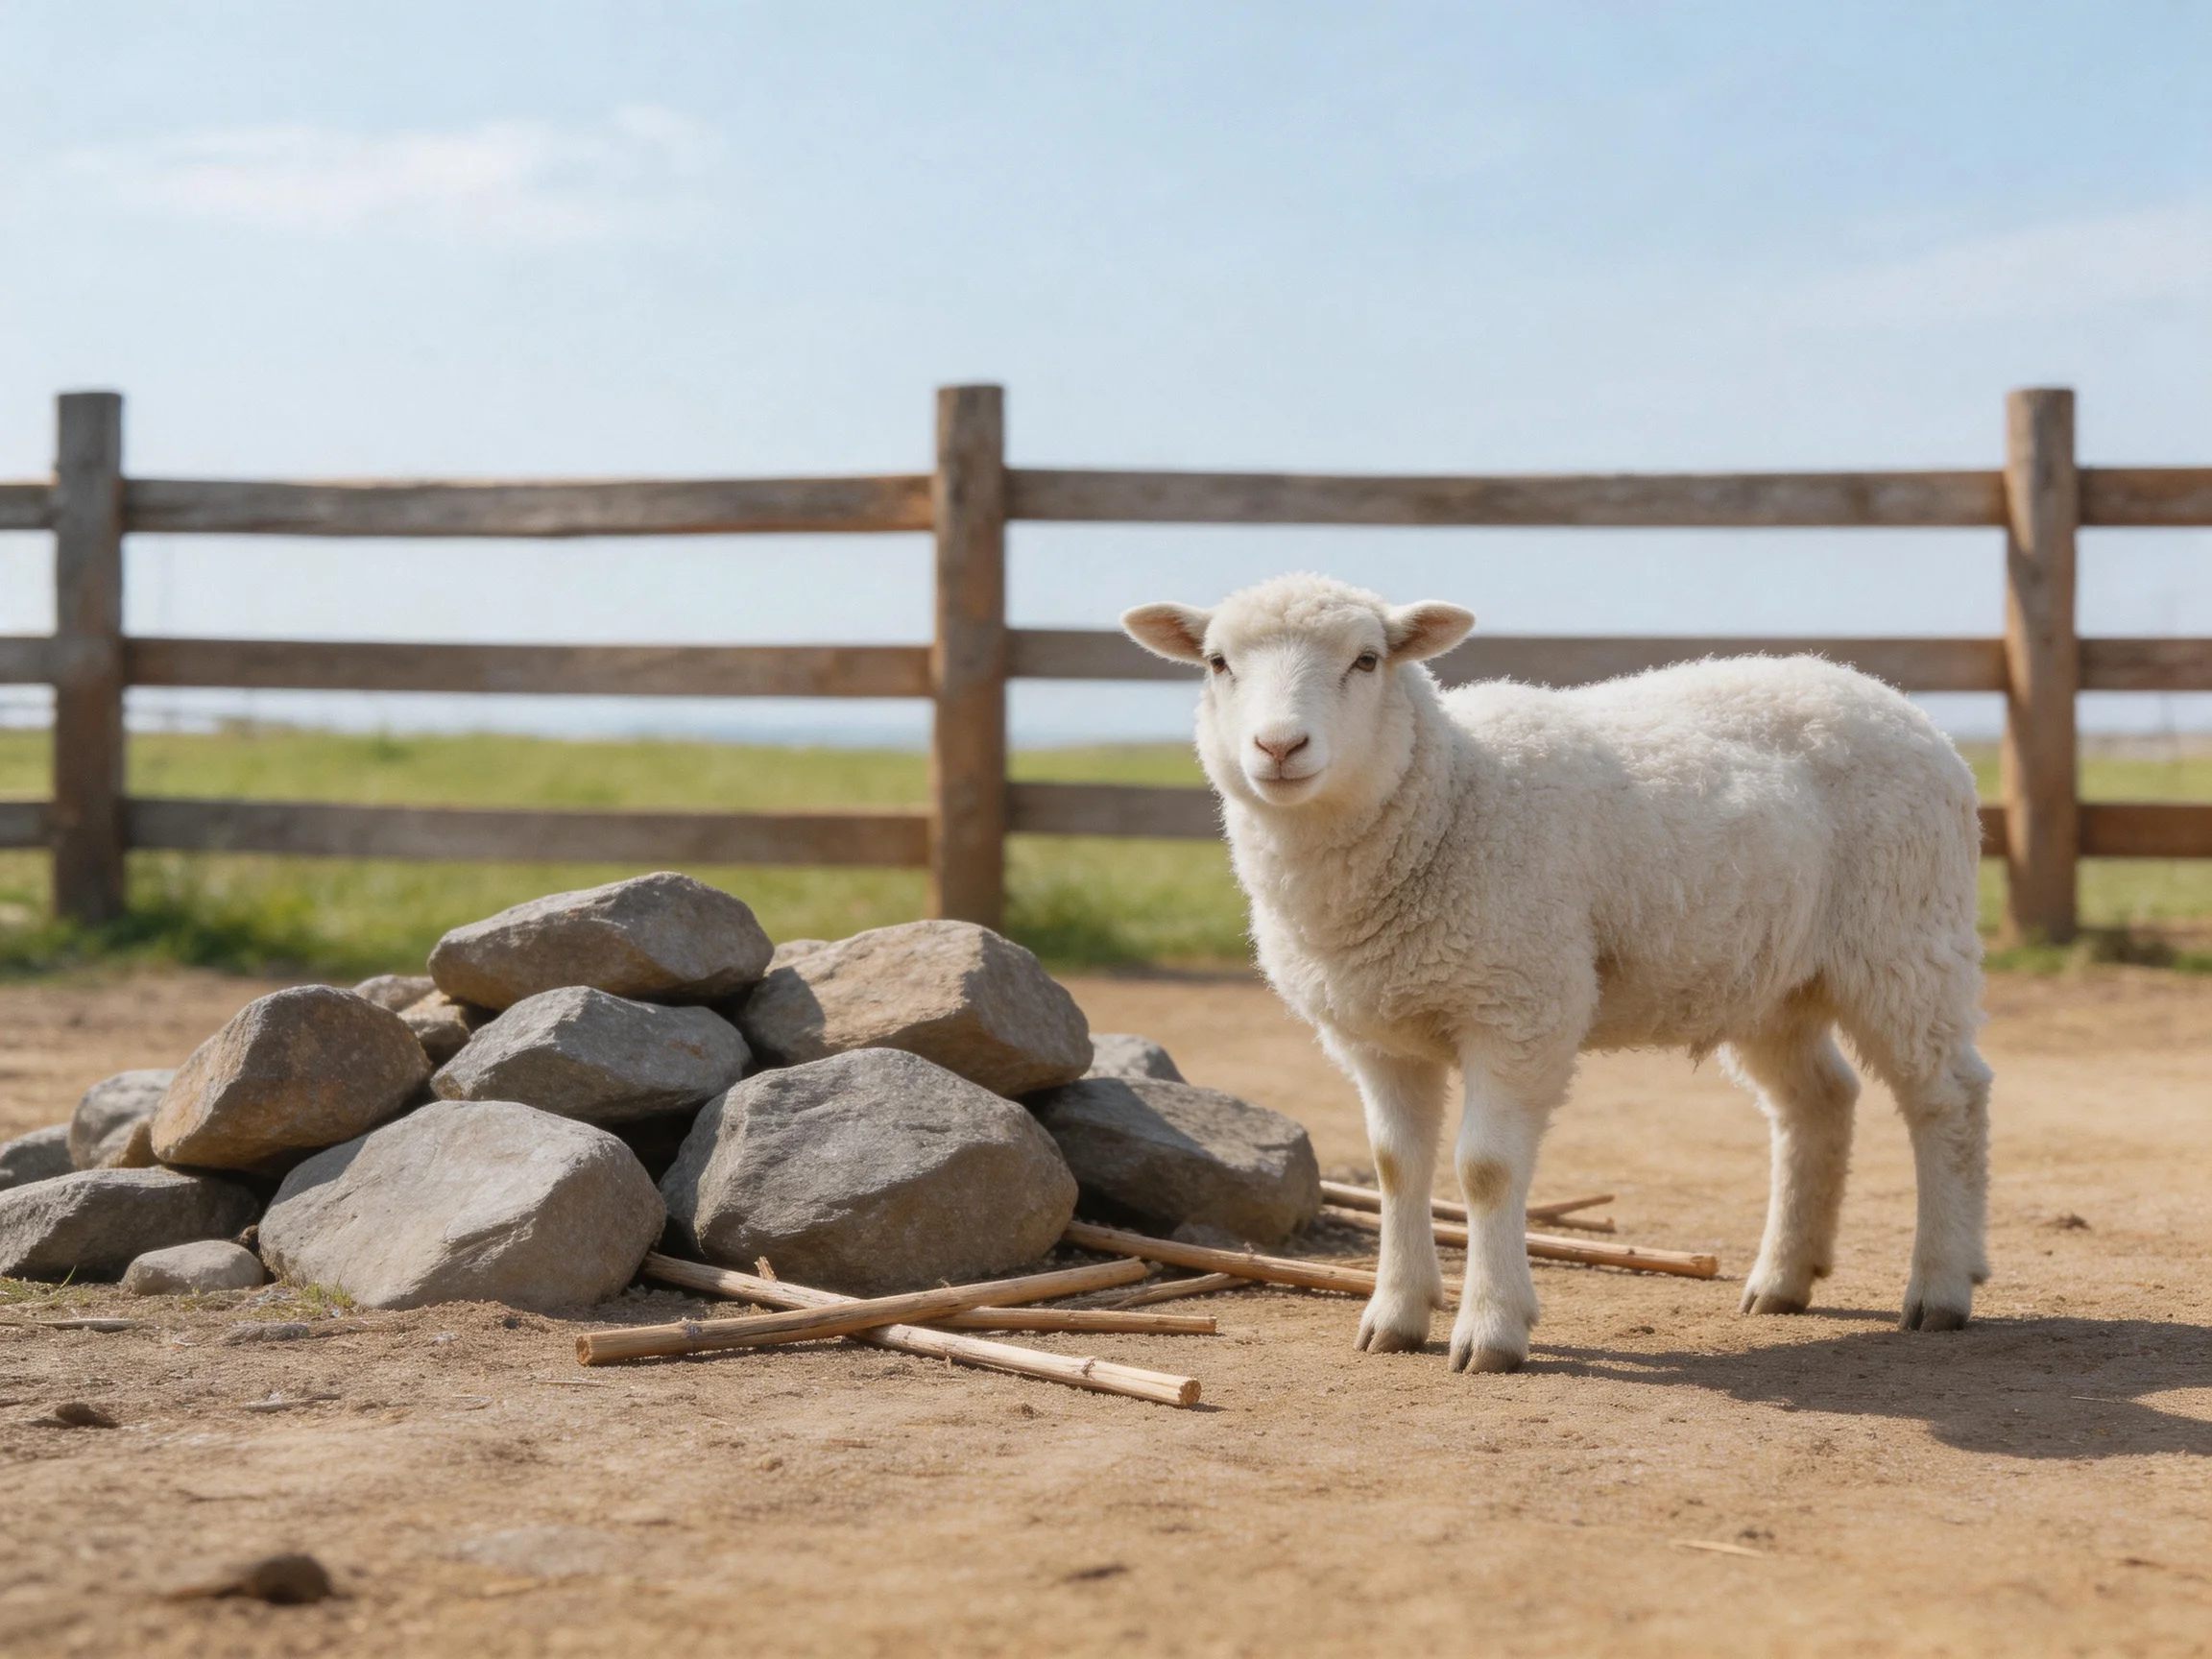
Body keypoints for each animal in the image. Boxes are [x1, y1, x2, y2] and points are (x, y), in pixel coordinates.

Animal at [1122, 573, 1991, 1375]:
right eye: (1217, 662)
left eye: (1366, 660)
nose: (1278, 748)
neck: (1449, 797)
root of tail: (1897, 703)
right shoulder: (1376, 1032)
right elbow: (1396, 1167)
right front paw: (1394, 1316)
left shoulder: (1519, 1003)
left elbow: (1485, 1170)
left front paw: (1491, 1330)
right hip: (1773, 978)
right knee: (1816, 1103)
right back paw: (1783, 1278)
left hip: (1907, 936)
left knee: (1947, 1097)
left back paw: (1941, 1285)